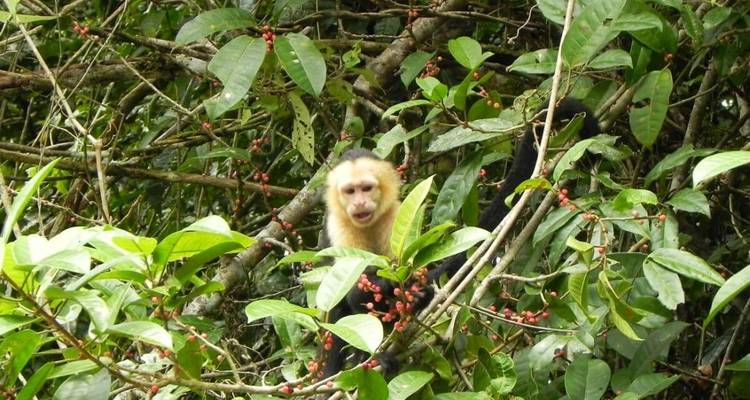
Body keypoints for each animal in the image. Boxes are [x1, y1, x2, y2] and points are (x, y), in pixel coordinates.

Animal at [318, 97, 601, 378]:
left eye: (366, 188)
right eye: (350, 191)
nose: (359, 203)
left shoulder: (396, 216)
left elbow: (407, 268)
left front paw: (409, 289)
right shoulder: (339, 225)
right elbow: (354, 291)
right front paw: (387, 288)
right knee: (341, 310)